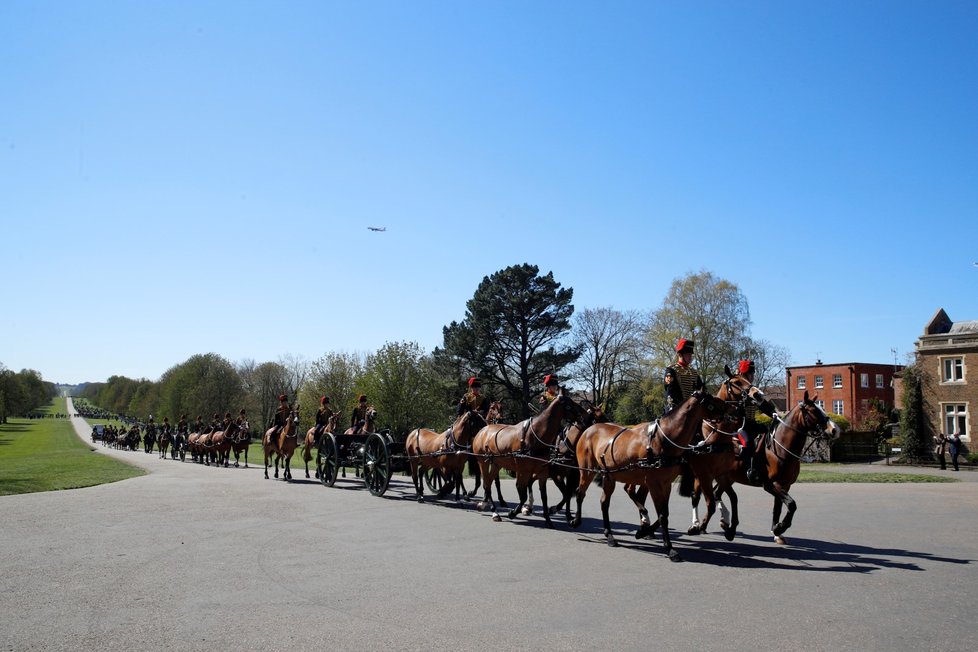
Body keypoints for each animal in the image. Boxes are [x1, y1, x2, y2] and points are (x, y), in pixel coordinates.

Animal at [468, 390, 584, 528]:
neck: (534, 436)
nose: (584, 413)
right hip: (483, 462)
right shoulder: (523, 472)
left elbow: (544, 496)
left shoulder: (542, 472)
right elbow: (522, 494)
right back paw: (494, 512)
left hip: (497, 464)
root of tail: (482, 431)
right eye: (569, 404)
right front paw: (514, 512)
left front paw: (548, 519)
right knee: (486, 483)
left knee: (490, 483)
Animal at [568, 390, 728, 564]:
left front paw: (643, 532)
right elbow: (662, 515)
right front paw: (669, 548)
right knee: (580, 493)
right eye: (710, 400)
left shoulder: (665, 484)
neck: (662, 439)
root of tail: (589, 430)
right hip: (587, 471)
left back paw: (609, 535)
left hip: (609, 476)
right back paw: (575, 521)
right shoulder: (654, 484)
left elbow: (664, 513)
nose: (732, 407)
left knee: (604, 502)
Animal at [708, 392, 840, 544]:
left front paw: (777, 532)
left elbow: (778, 507)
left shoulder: (785, 485)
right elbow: (792, 504)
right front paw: (780, 527)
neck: (781, 449)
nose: (834, 430)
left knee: (716, 493)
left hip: (728, 478)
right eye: (813, 411)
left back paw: (724, 521)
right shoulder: (772, 485)